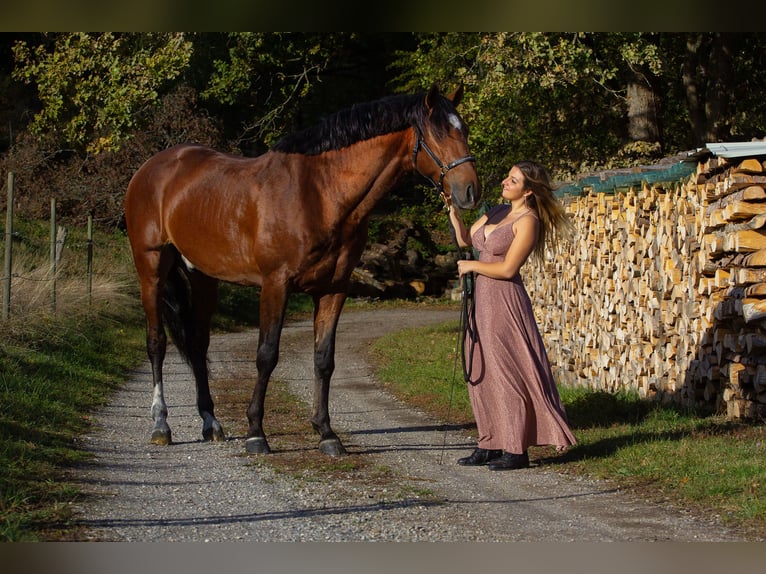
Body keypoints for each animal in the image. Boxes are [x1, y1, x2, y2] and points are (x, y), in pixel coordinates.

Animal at [127, 82, 484, 460]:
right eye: (439, 133)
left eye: (464, 130)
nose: (470, 191)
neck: (319, 194)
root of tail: (153, 167)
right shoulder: (276, 284)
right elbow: (266, 355)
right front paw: (256, 433)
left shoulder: (334, 288)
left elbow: (323, 359)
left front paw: (326, 433)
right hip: (151, 268)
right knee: (156, 341)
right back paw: (160, 425)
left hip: (202, 276)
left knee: (197, 344)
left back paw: (211, 423)